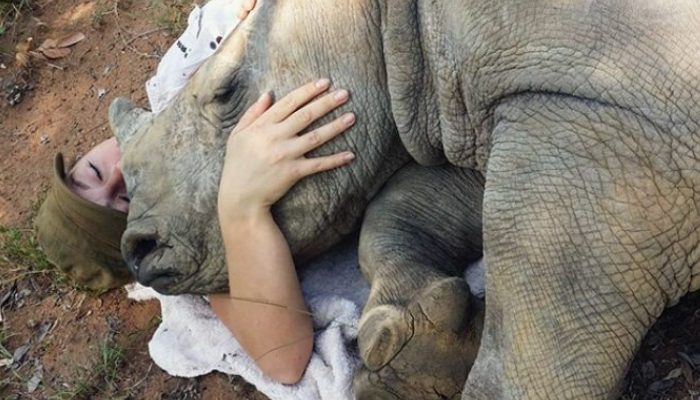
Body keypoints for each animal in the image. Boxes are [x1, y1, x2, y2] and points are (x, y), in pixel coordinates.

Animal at [109, 0, 700, 399]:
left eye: (227, 92)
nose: (138, 250)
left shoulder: (601, 106)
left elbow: (533, 341)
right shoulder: (489, 114)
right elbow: (399, 208)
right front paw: (421, 359)